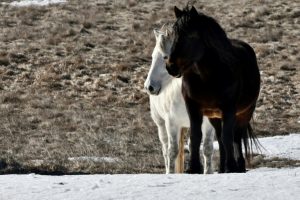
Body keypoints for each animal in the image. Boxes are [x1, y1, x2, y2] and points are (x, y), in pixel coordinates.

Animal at [144, 25, 214, 174]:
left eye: (165, 57)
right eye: (152, 57)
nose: (149, 87)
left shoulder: (207, 122)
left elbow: (207, 149)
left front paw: (208, 172)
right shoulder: (172, 123)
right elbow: (172, 152)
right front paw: (170, 174)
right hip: (161, 124)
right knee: (165, 149)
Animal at [165, 5, 262, 173]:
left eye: (191, 36)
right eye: (173, 35)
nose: (171, 66)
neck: (208, 78)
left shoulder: (229, 108)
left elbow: (228, 137)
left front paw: (231, 167)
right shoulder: (193, 108)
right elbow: (196, 137)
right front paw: (193, 168)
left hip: (244, 113)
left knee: (236, 137)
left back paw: (238, 166)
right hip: (214, 116)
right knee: (221, 139)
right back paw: (222, 168)